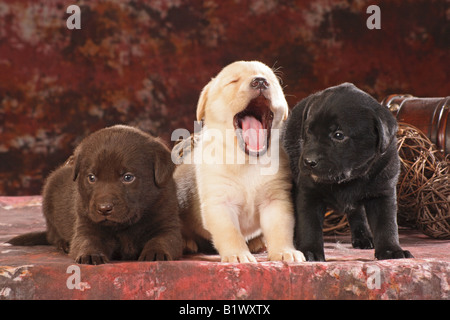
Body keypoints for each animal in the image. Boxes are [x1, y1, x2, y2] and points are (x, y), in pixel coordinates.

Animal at [174, 60, 304, 262]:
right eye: (233, 81)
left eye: (272, 80)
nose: (260, 81)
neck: (248, 161)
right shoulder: (219, 202)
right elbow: (230, 233)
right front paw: (237, 254)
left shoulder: (276, 200)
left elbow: (280, 229)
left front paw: (284, 251)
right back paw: (187, 242)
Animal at [284, 84, 414, 262]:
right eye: (308, 132)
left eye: (339, 135)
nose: (309, 161)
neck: (349, 178)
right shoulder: (309, 192)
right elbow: (309, 224)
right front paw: (309, 251)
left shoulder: (383, 192)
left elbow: (386, 224)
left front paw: (391, 251)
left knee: (357, 212)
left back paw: (363, 236)